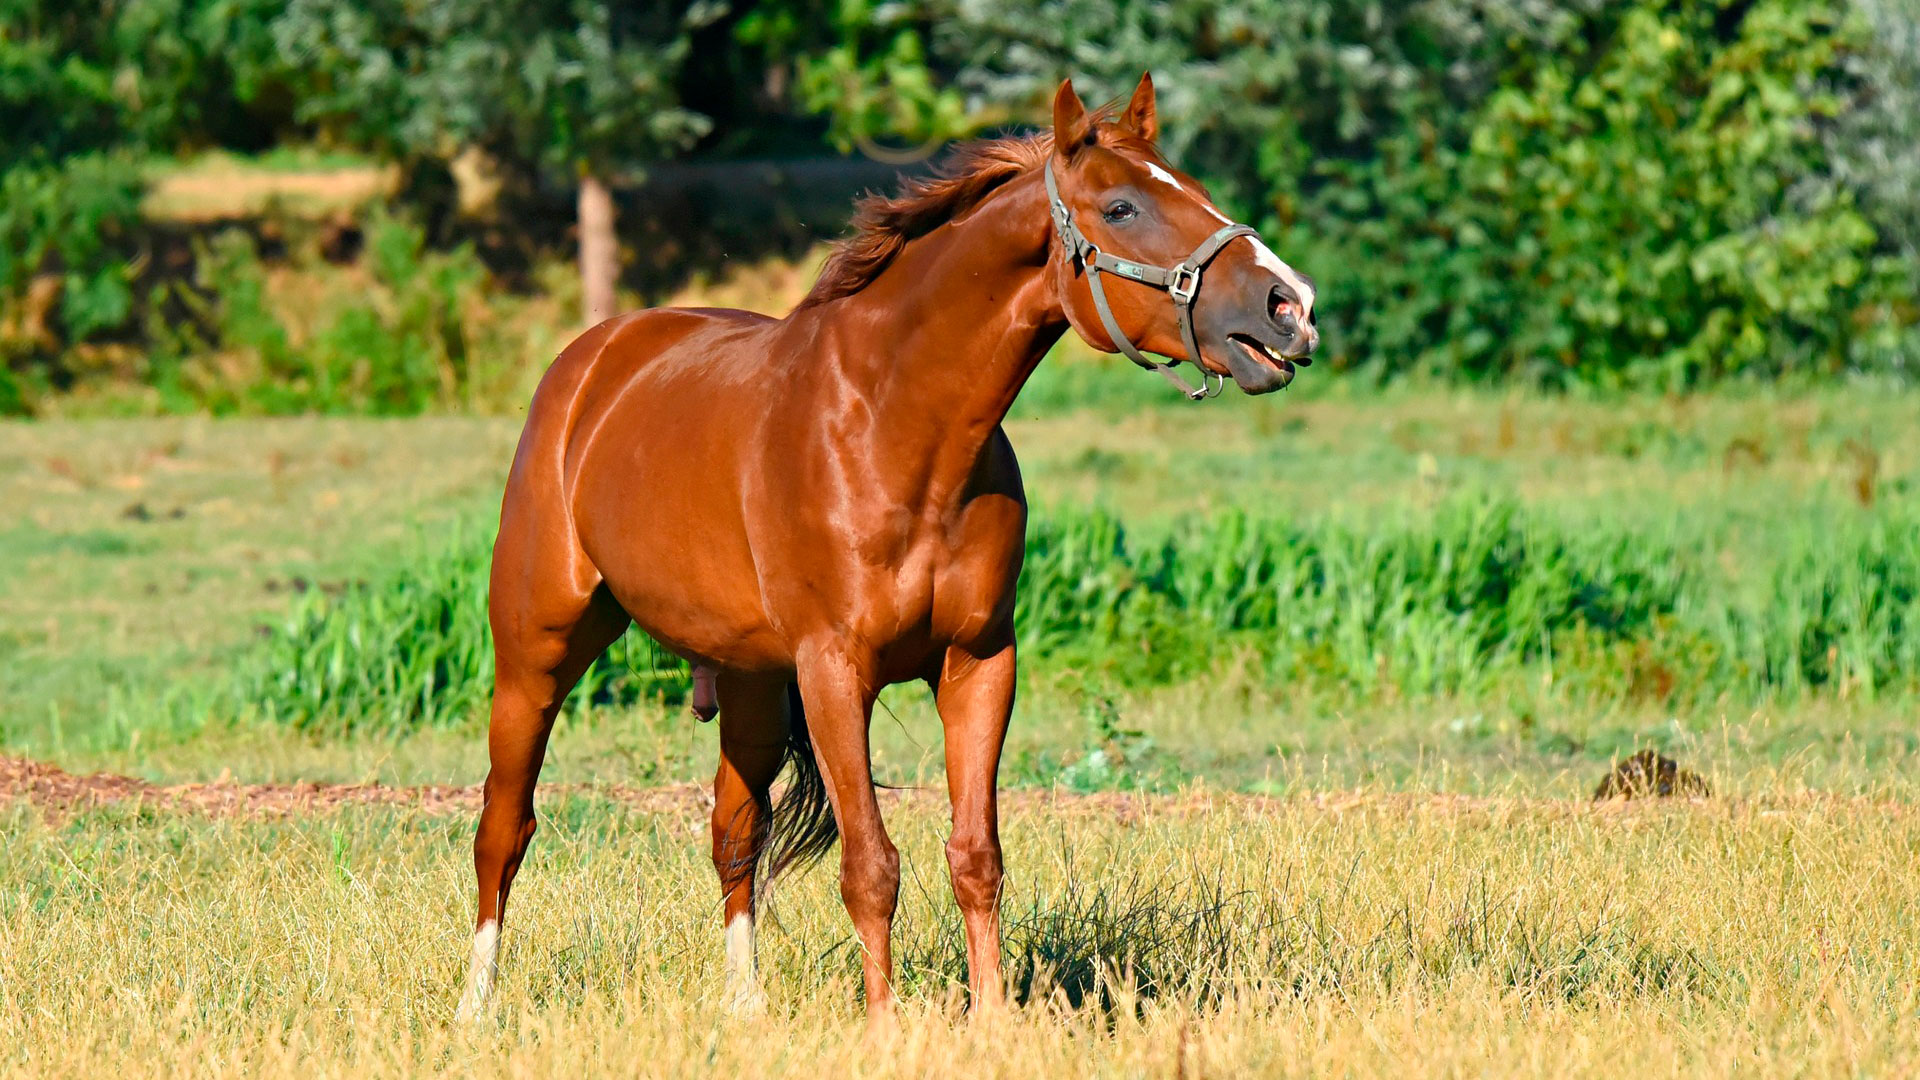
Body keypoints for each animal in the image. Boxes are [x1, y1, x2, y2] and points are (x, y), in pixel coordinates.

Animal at [456, 75, 1320, 1014]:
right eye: (1122, 206)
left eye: (1197, 188)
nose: (1290, 307)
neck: (897, 428)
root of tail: (593, 359)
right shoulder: (837, 671)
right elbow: (870, 867)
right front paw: (886, 1024)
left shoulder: (978, 661)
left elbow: (975, 858)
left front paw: (992, 1021)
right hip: (537, 651)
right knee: (505, 826)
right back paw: (476, 1009)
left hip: (751, 683)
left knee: (733, 832)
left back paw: (745, 1010)